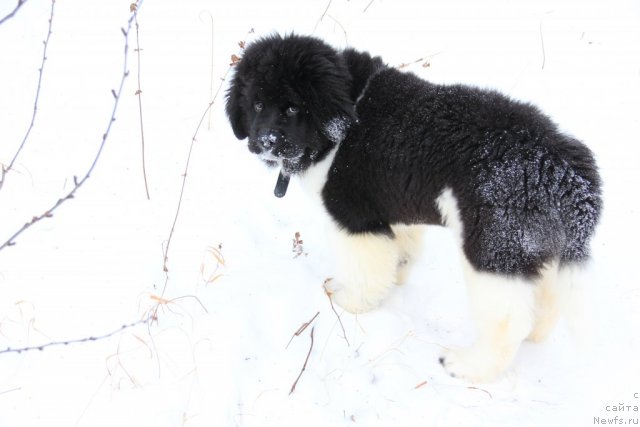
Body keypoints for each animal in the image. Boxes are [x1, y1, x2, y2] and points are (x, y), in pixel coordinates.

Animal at [225, 33, 600, 382]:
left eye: (292, 108)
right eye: (256, 105)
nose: (264, 143)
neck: (343, 116)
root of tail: (562, 168)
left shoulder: (354, 216)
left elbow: (364, 268)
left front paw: (351, 302)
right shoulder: (394, 204)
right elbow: (401, 249)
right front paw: (397, 277)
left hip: (494, 248)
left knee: (508, 320)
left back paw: (468, 366)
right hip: (536, 246)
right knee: (546, 302)